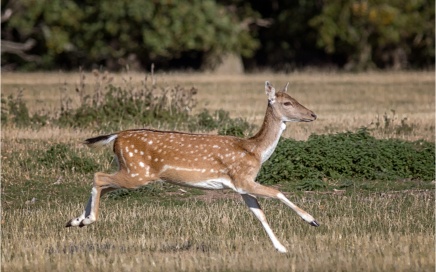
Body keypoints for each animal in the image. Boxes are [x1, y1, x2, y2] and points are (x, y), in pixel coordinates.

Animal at [67, 81, 320, 253]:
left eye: (294, 98)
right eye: (287, 102)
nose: (313, 114)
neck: (255, 150)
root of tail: (117, 136)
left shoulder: (241, 186)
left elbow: (260, 215)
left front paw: (282, 248)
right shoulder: (243, 178)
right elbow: (277, 192)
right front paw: (312, 220)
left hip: (131, 170)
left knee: (103, 185)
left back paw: (75, 221)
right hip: (138, 172)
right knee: (99, 177)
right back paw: (87, 220)